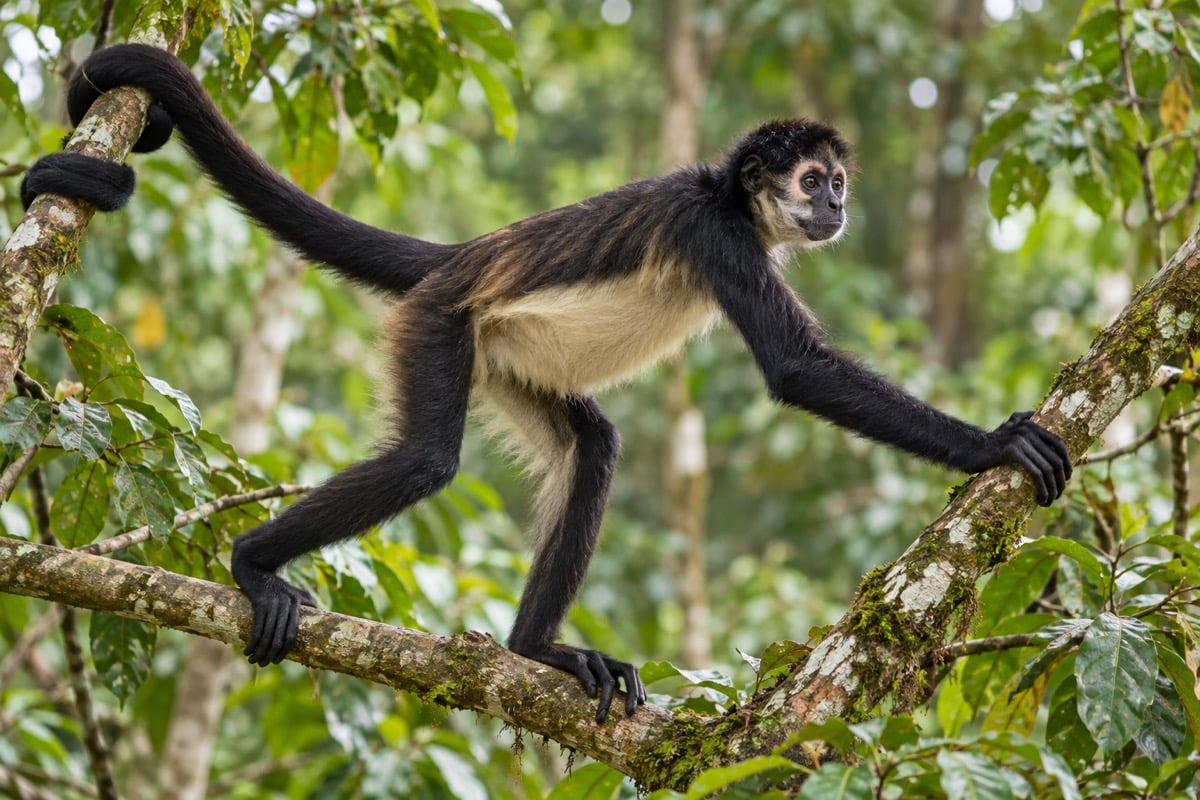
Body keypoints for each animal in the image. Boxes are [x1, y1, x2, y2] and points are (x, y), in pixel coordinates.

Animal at [22, 44, 1072, 724]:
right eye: (813, 180)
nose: (838, 204)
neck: (732, 199)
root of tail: (457, 259)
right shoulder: (716, 235)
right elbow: (797, 369)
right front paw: (994, 445)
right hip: (440, 325)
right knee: (425, 460)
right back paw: (249, 564)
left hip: (500, 359)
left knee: (594, 446)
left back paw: (534, 653)